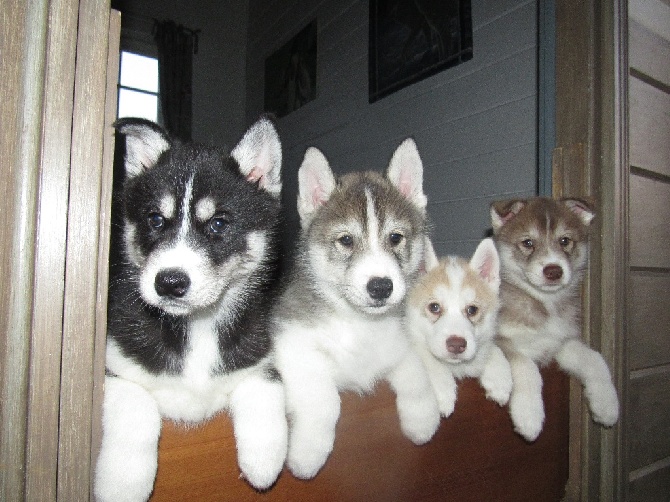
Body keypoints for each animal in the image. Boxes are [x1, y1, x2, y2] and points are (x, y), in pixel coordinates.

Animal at [93, 116, 288, 502]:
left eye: (218, 223)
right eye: (155, 219)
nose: (169, 282)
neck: (196, 325)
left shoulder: (255, 353)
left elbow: (267, 382)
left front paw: (264, 460)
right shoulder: (112, 365)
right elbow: (136, 402)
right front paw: (123, 482)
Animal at [272, 138, 440, 478]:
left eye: (396, 237)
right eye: (346, 240)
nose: (381, 287)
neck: (360, 325)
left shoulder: (397, 346)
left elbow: (417, 375)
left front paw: (423, 420)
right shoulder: (291, 345)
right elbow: (326, 401)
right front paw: (308, 453)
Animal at [494, 198, 620, 442]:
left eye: (565, 241)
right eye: (528, 243)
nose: (553, 270)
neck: (544, 303)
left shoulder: (559, 343)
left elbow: (595, 359)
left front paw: (607, 405)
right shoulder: (499, 340)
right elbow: (525, 365)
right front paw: (529, 416)